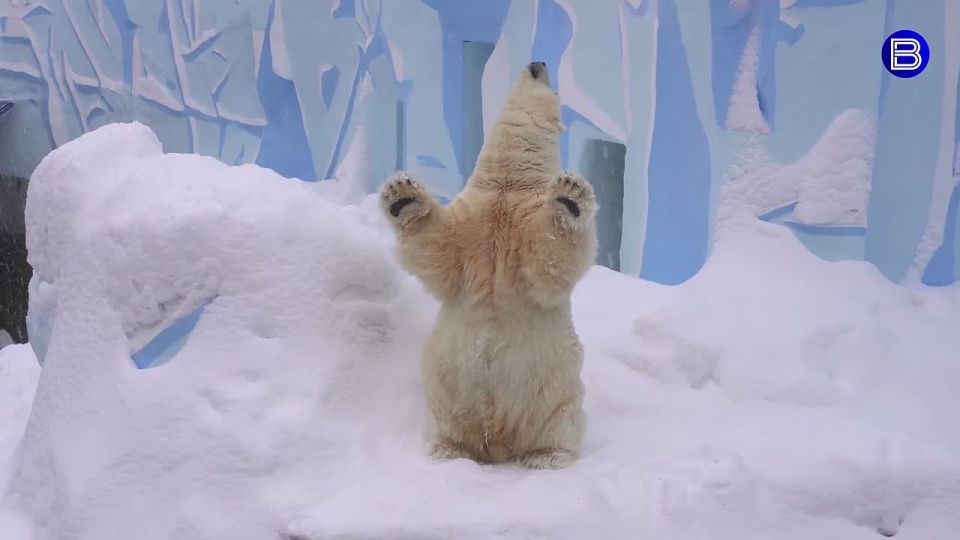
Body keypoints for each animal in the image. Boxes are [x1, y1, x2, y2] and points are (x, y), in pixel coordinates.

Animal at [379, 61, 598, 469]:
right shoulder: (472, 217)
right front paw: (402, 195)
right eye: (538, 76)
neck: (507, 183)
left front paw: (570, 199)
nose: (539, 62)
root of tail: (498, 439)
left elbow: (550, 264)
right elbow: (436, 251)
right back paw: (446, 449)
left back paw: (546, 456)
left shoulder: (523, 221)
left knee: (560, 420)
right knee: (447, 418)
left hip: (554, 388)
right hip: (444, 384)